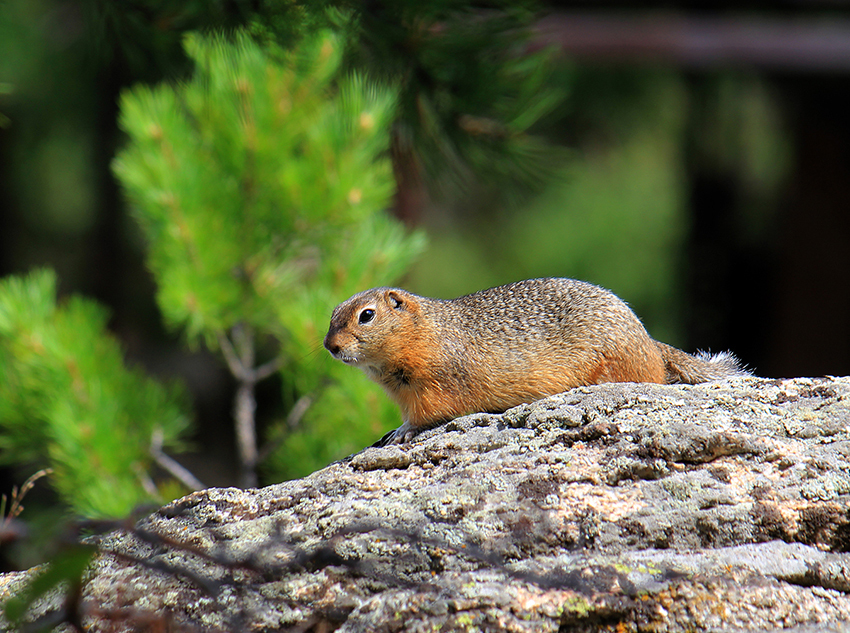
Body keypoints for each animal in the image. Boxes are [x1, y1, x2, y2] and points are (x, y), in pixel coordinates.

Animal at [322, 278, 744, 442]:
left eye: (366, 315)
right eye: (331, 314)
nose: (329, 346)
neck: (428, 331)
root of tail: (651, 343)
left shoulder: (433, 384)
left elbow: (426, 414)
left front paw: (402, 431)